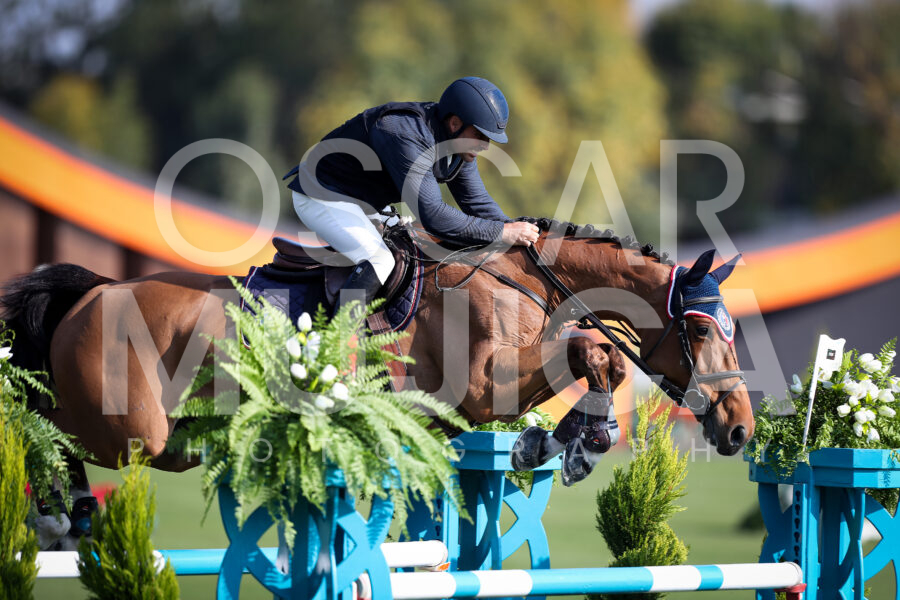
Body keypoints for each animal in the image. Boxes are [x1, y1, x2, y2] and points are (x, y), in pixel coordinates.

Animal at [1, 218, 753, 543]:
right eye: (703, 332)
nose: (740, 427)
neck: (522, 283)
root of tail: (92, 294)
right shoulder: (484, 385)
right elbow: (598, 354)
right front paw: (581, 443)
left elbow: (594, 358)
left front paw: (555, 441)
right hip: (132, 432)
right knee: (49, 437)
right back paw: (56, 515)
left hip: (164, 437)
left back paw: (68, 516)